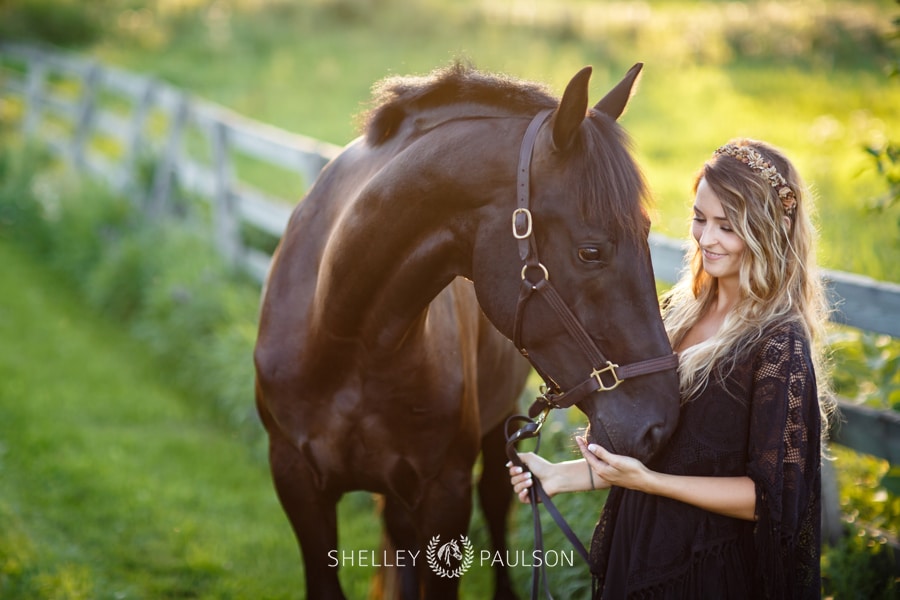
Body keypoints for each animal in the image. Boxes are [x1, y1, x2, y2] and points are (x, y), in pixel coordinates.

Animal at [253, 63, 676, 596]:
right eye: (591, 252)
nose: (661, 425)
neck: (347, 337)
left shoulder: (445, 493)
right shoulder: (295, 481)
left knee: (495, 500)